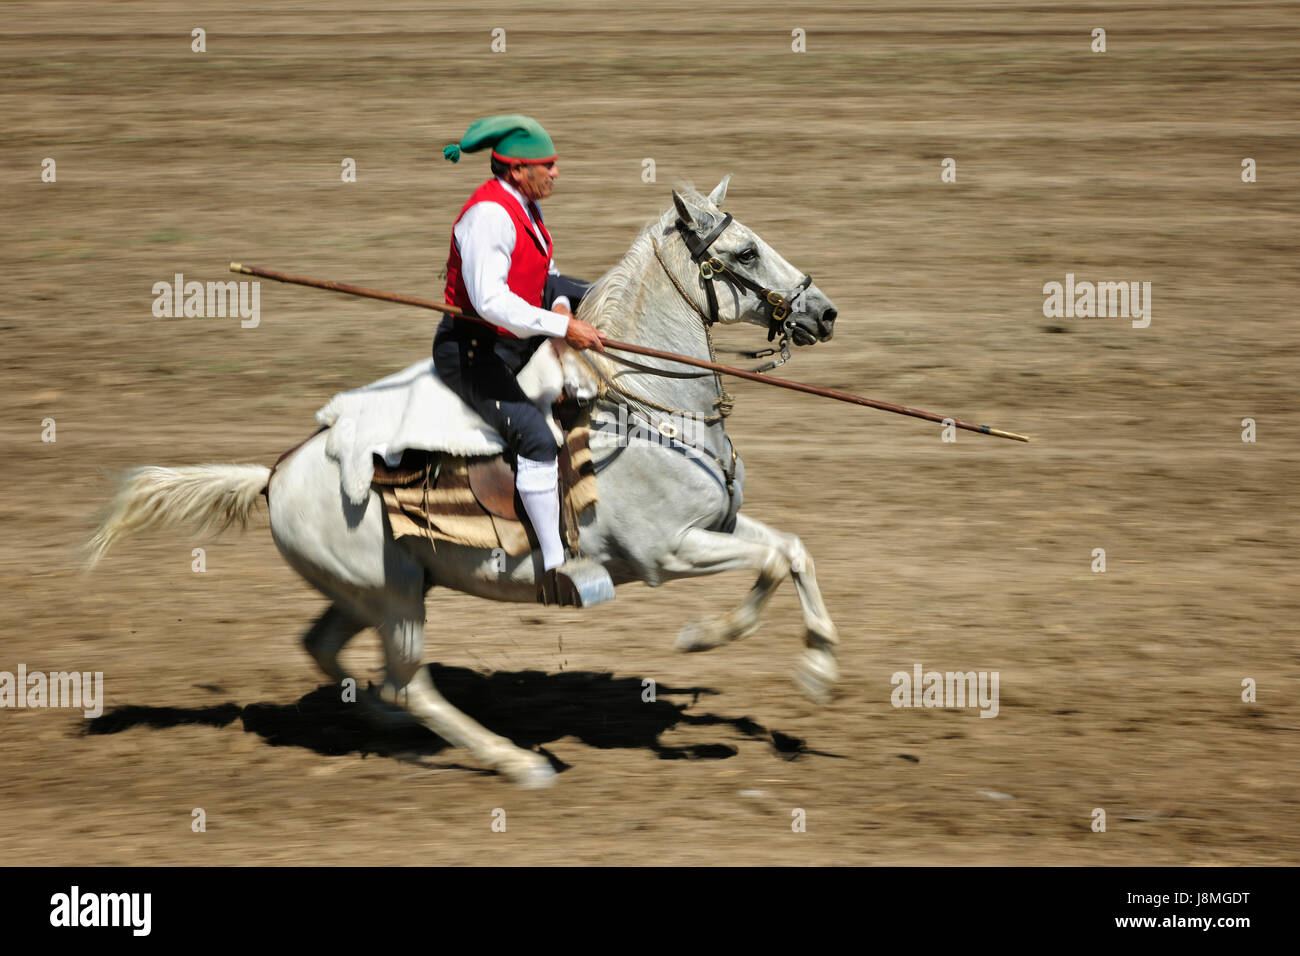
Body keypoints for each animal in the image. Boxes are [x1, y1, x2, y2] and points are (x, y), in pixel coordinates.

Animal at [89, 175, 842, 790]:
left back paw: (387, 723)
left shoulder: (717, 526)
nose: (825, 312)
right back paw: (515, 760)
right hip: (392, 596)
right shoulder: (669, 551)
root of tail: (276, 474)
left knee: (331, 651)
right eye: (745, 253)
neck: (643, 405)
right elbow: (772, 563)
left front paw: (820, 670)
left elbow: (794, 551)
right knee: (411, 684)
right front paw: (702, 638)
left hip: (377, 587)